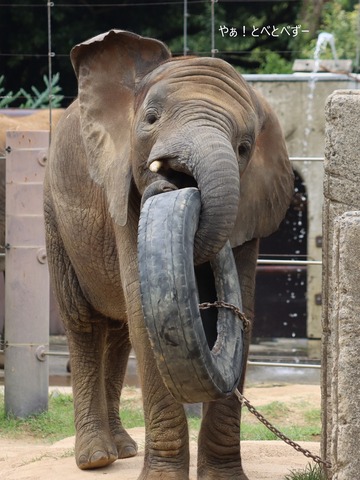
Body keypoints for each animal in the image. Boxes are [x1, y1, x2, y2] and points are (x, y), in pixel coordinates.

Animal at [43, 30, 294, 480]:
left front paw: (225, 478)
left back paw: (124, 449)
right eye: (151, 119)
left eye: (244, 147)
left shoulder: (253, 204)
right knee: (84, 322)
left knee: (119, 331)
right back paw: (97, 457)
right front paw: (161, 477)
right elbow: (144, 309)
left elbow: (243, 308)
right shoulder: (121, 186)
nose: (175, 183)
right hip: (54, 213)